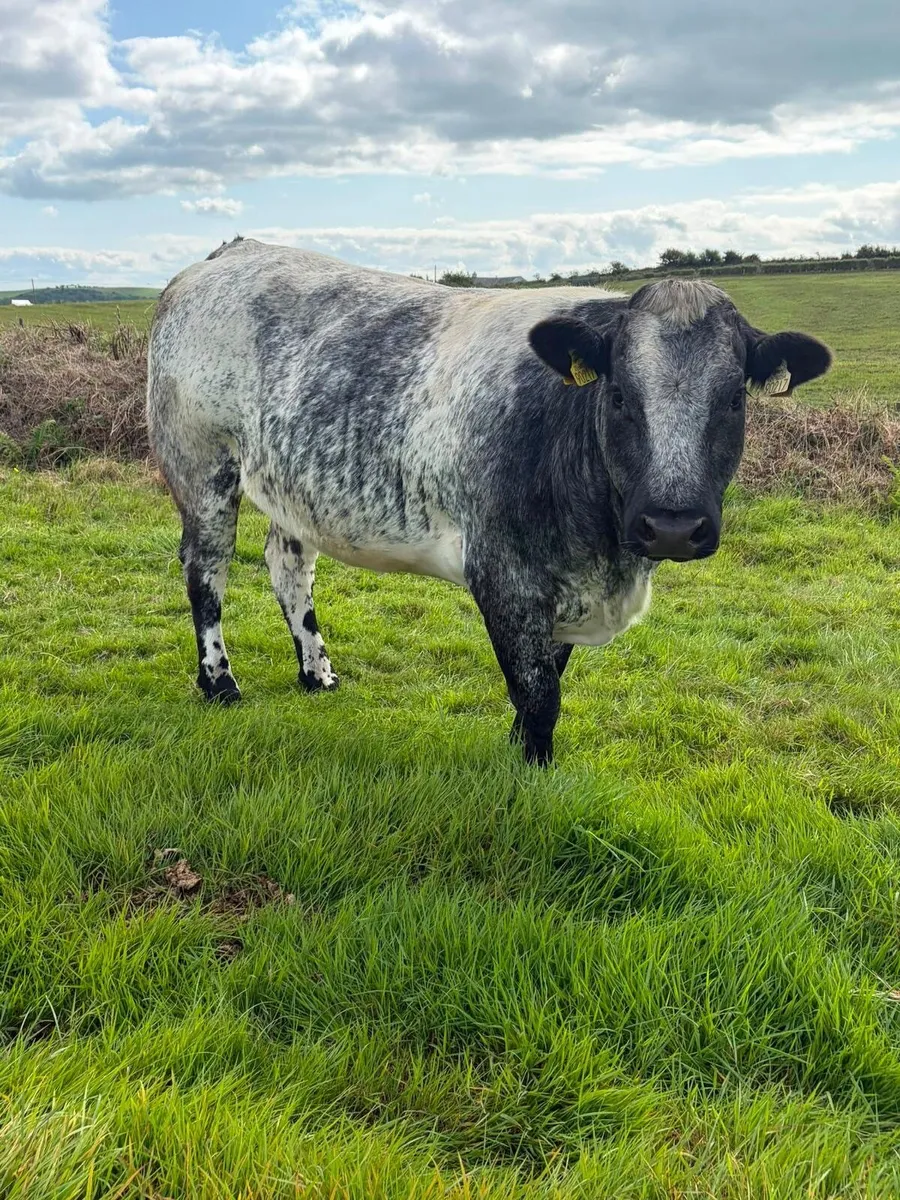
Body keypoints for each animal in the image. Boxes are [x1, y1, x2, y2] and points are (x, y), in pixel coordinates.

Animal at [147, 238, 832, 765]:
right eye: (618, 396)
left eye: (734, 400)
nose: (671, 526)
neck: (609, 558)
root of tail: (228, 254)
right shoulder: (504, 574)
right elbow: (539, 695)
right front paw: (532, 774)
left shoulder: (561, 587)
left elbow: (547, 680)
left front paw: (516, 750)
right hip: (200, 464)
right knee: (205, 570)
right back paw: (220, 683)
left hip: (290, 486)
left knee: (288, 567)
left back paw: (317, 673)